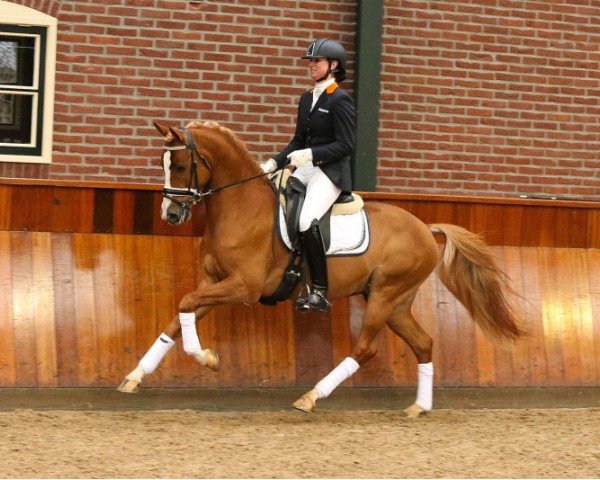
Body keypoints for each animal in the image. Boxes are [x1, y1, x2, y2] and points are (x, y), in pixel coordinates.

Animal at [117, 120, 520, 416]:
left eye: (181, 165)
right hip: (396, 302)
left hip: (386, 296)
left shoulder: (243, 286)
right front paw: (134, 377)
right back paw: (419, 407)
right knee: (424, 344)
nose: (171, 216)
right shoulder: (213, 281)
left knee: (366, 349)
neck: (241, 208)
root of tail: (424, 227)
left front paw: (209, 359)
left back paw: (310, 397)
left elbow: (185, 303)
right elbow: (179, 316)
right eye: (165, 165)